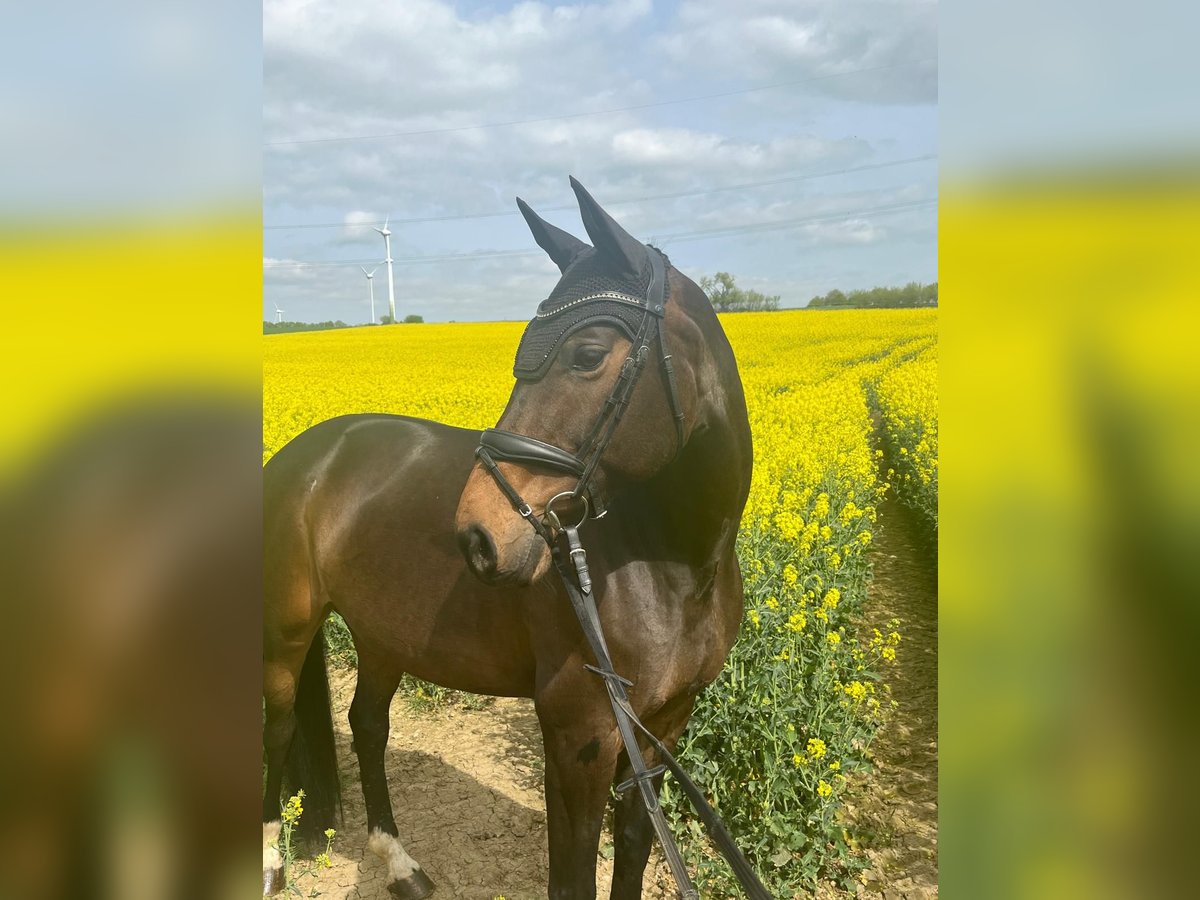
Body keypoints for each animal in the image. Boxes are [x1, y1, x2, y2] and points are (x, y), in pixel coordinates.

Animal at [262, 177, 748, 900]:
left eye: (587, 354)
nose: (478, 534)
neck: (677, 570)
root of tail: (304, 455)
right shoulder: (579, 739)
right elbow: (572, 877)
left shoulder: (662, 729)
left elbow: (634, 850)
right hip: (286, 631)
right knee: (279, 729)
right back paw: (268, 859)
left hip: (381, 634)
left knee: (367, 727)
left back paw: (398, 864)